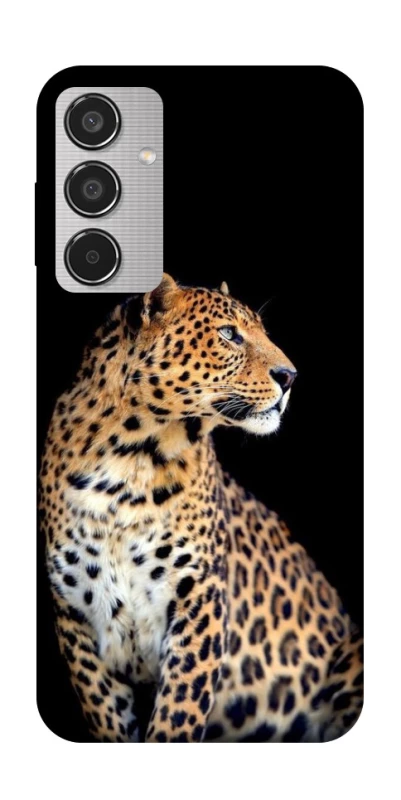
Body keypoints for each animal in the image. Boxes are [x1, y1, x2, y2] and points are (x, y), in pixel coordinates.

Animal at [39, 273, 363, 743]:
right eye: (229, 334)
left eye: (262, 332)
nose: (290, 376)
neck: (129, 460)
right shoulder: (76, 618)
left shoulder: (200, 600)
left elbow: (178, 714)